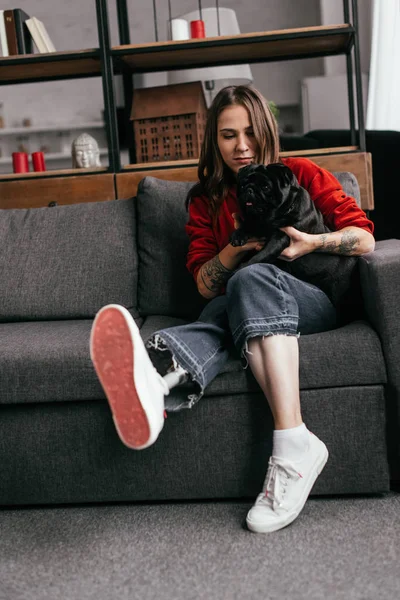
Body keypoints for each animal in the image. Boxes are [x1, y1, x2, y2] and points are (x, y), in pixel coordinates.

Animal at [231, 162, 360, 308]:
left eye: (266, 187)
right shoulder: (256, 222)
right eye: (242, 185)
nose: (249, 190)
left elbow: (261, 255)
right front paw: (238, 235)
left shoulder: (280, 238)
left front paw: (241, 267)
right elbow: (247, 225)